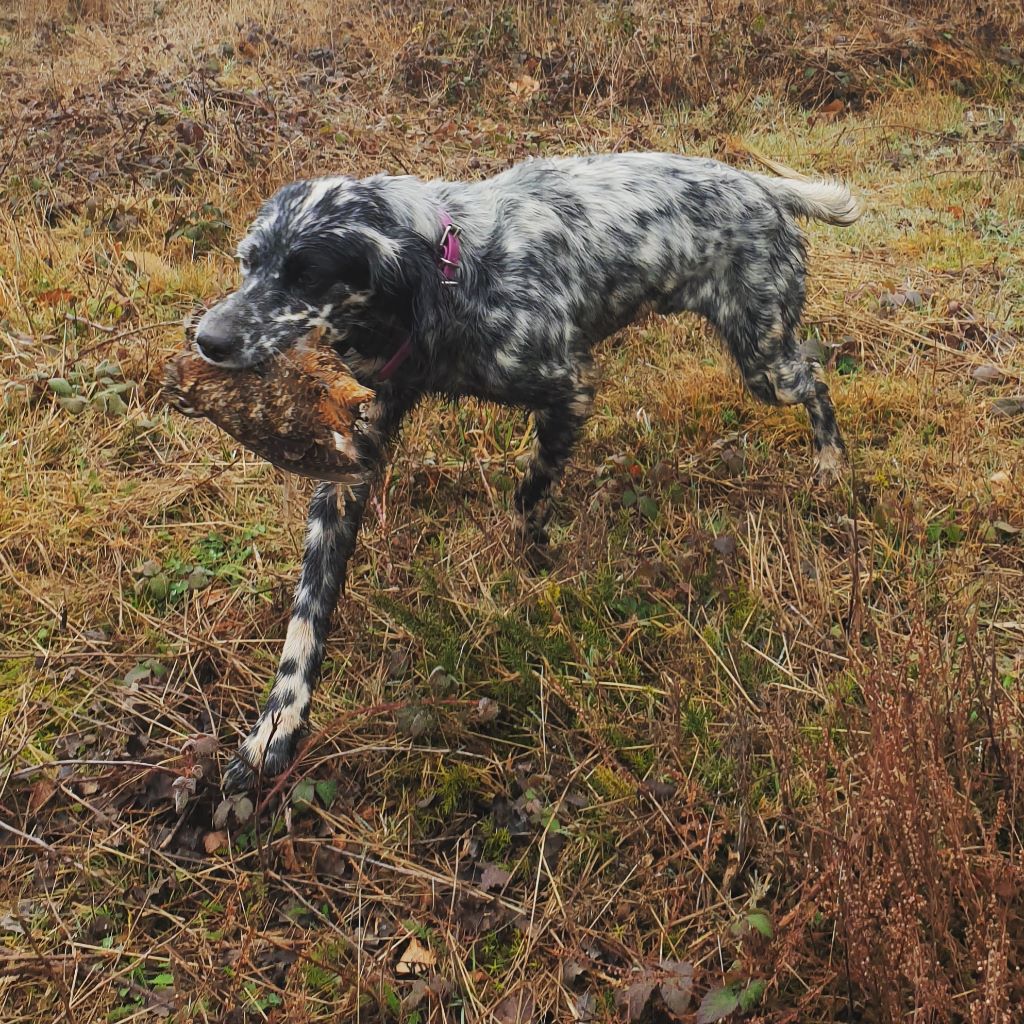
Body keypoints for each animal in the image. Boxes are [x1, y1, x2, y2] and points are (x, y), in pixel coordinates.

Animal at [193, 153, 864, 790]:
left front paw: (534, 555)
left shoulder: (570, 389)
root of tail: (759, 184)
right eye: (249, 263)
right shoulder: (349, 466)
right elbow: (307, 618)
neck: (448, 276)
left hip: (766, 362)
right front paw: (275, 728)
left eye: (305, 275)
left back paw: (830, 464)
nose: (206, 338)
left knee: (818, 381)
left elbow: (531, 493)